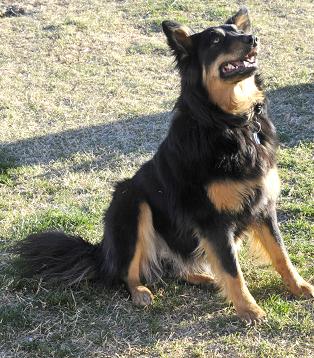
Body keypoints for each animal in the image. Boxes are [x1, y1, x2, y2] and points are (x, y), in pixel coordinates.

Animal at [15, 6, 312, 324]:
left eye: (236, 30)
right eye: (216, 40)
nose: (253, 38)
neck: (230, 123)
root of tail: (101, 253)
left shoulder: (264, 206)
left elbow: (281, 254)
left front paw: (300, 286)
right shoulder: (212, 220)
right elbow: (232, 270)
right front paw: (249, 309)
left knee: (175, 268)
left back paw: (204, 278)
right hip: (132, 203)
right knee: (127, 273)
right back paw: (140, 292)